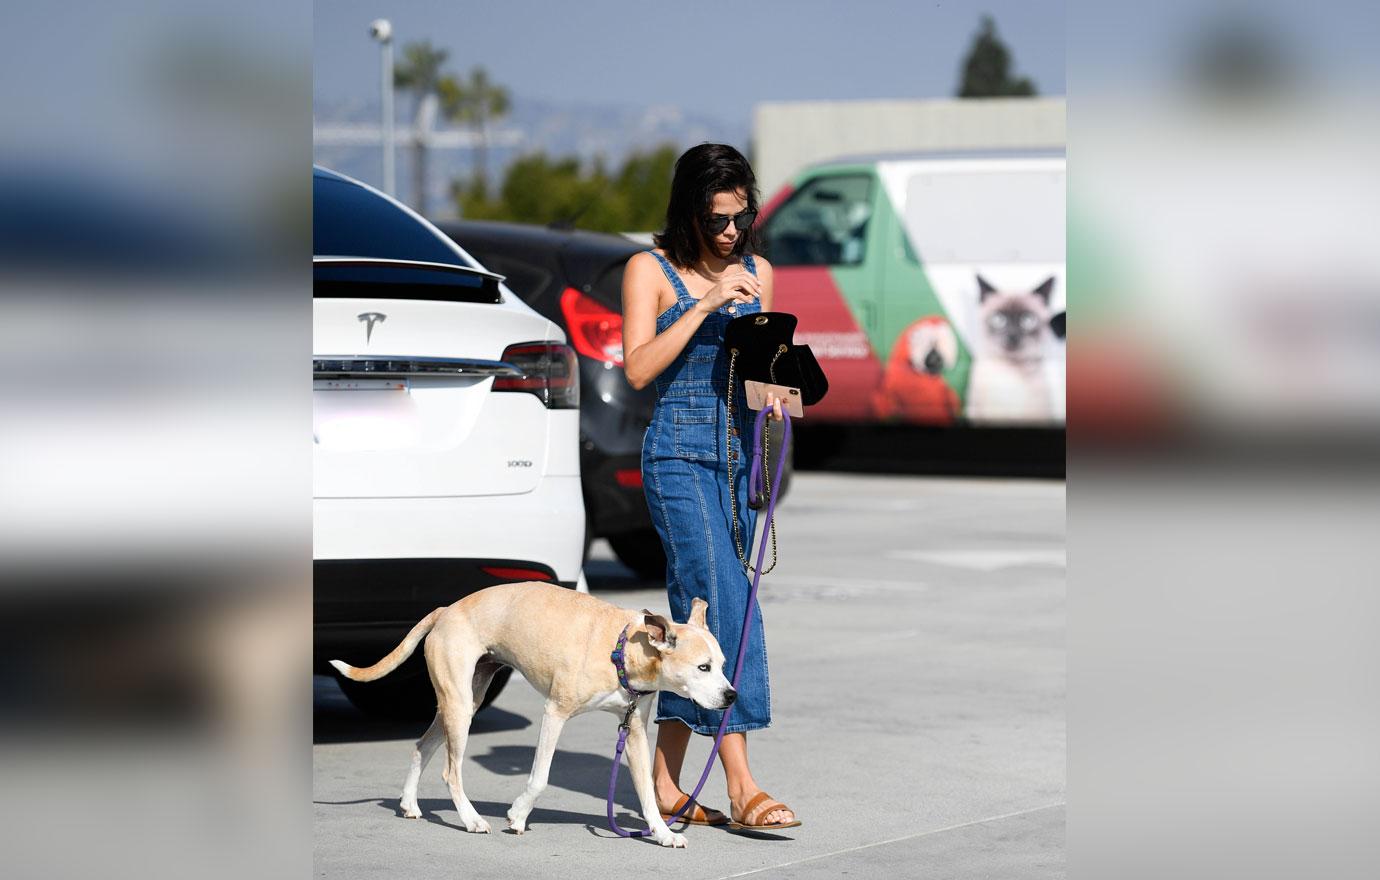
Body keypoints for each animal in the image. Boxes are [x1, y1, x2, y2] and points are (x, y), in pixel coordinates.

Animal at [325, 582, 734, 849]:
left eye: (723, 665)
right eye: (703, 667)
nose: (731, 696)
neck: (619, 648)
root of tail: (447, 609)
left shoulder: (632, 732)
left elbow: (647, 793)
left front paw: (663, 833)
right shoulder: (555, 713)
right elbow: (539, 778)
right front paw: (518, 816)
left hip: (461, 704)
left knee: (421, 746)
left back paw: (410, 804)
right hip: (458, 707)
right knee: (450, 772)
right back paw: (472, 820)